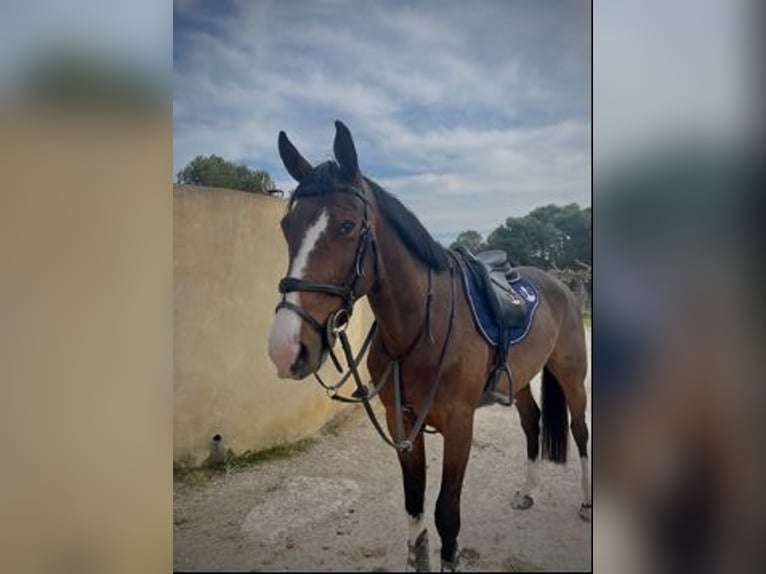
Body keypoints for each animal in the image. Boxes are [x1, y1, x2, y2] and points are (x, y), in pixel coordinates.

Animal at [268, 120, 592, 572]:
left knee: (580, 431)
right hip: (522, 380)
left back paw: (586, 502)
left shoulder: (459, 424)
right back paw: (527, 492)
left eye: (347, 225)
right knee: (533, 423)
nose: (285, 349)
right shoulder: (401, 422)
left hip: (572, 375)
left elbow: (446, 513)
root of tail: (558, 284)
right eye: (287, 227)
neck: (422, 329)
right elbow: (415, 506)